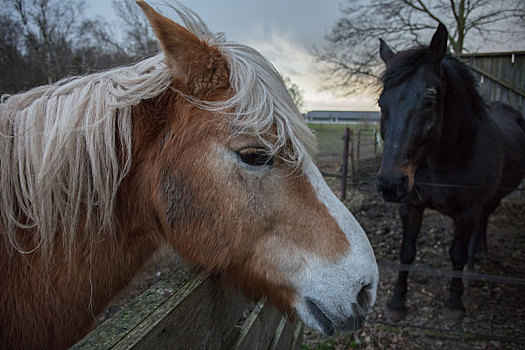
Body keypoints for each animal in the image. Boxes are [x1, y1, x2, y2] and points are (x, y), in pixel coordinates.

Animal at [374, 23, 524, 320]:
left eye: (430, 100)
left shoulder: (466, 211)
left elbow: (456, 255)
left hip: (493, 197)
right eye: (381, 103)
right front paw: (397, 302)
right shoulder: (411, 206)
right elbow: (406, 252)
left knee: (482, 222)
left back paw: (478, 256)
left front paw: (455, 305)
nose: (390, 184)